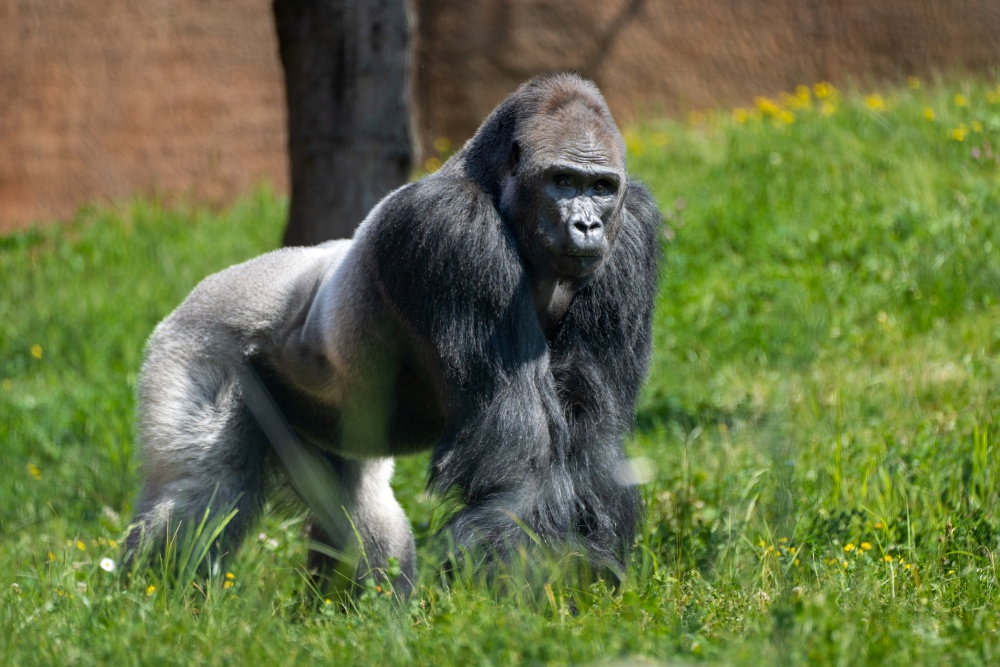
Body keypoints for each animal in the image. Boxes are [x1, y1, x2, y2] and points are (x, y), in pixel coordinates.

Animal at [127, 73, 664, 596]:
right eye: (562, 181)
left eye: (601, 187)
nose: (587, 225)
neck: (490, 182)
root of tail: (202, 290)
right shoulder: (452, 227)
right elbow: (519, 457)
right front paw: (525, 594)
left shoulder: (632, 231)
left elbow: (592, 444)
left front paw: (585, 582)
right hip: (195, 342)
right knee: (205, 493)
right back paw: (148, 598)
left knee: (365, 520)